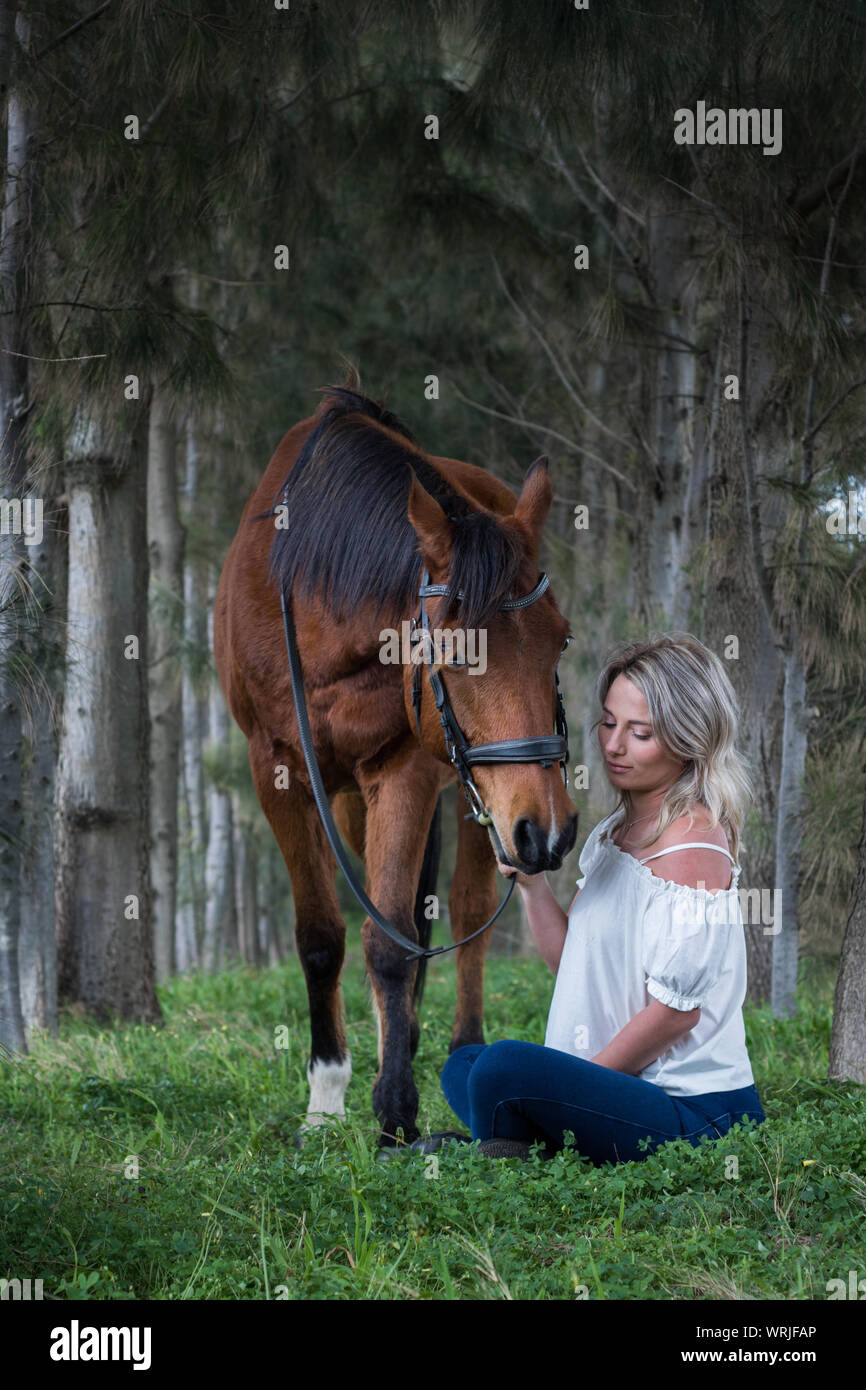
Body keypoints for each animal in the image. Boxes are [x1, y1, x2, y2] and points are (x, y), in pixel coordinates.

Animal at [213, 372, 578, 1148]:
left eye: (561, 639)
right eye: (454, 648)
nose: (549, 829)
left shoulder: (405, 770)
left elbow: (394, 940)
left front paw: (395, 1114)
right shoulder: (277, 774)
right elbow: (324, 938)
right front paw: (326, 1101)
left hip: (475, 800)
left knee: (465, 911)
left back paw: (462, 1053)